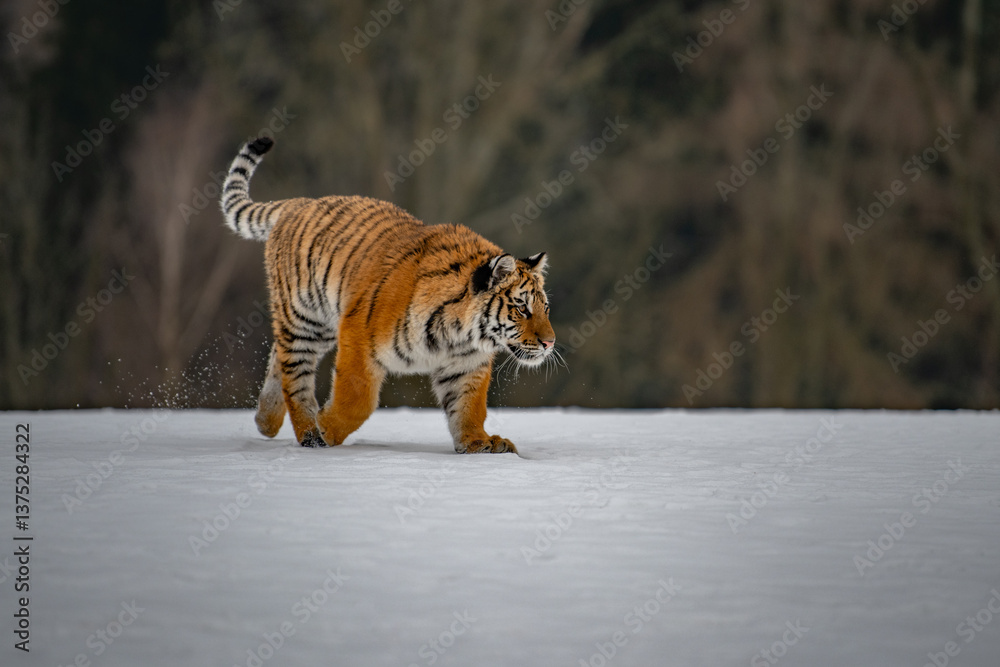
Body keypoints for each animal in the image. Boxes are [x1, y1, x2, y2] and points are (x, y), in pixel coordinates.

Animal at [220, 137, 556, 453]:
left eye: (546, 308)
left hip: (323, 325)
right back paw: (309, 432)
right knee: (294, 373)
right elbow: (358, 398)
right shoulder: (358, 335)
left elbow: (469, 406)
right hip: (304, 319)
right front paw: (327, 428)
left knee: (278, 357)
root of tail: (299, 202)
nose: (550, 343)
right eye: (522, 308)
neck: (460, 333)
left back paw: (266, 421)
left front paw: (478, 443)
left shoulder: (465, 365)